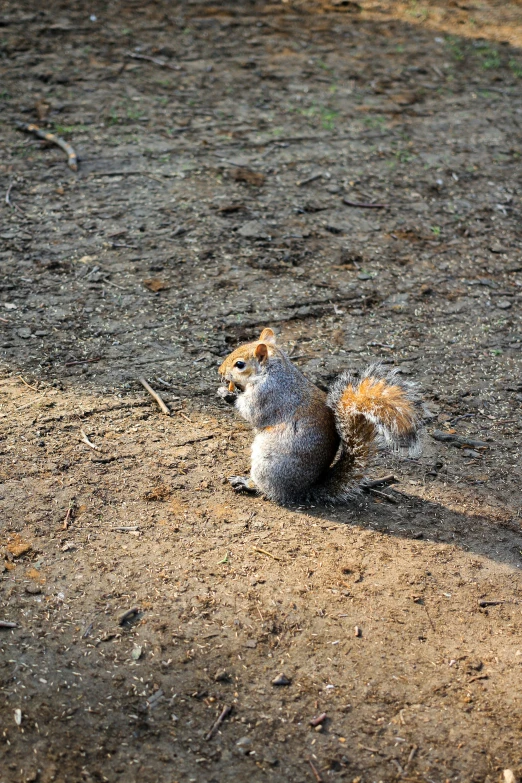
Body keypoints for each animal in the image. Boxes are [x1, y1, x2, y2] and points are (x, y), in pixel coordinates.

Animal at [217, 326, 420, 506]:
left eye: (240, 364)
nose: (220, 371)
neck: (271, 371)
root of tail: (304, 489)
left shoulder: (268, 395)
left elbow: (251, 412)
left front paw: (228, 394)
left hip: (266, 465)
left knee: (267, 489)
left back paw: (246, 483)